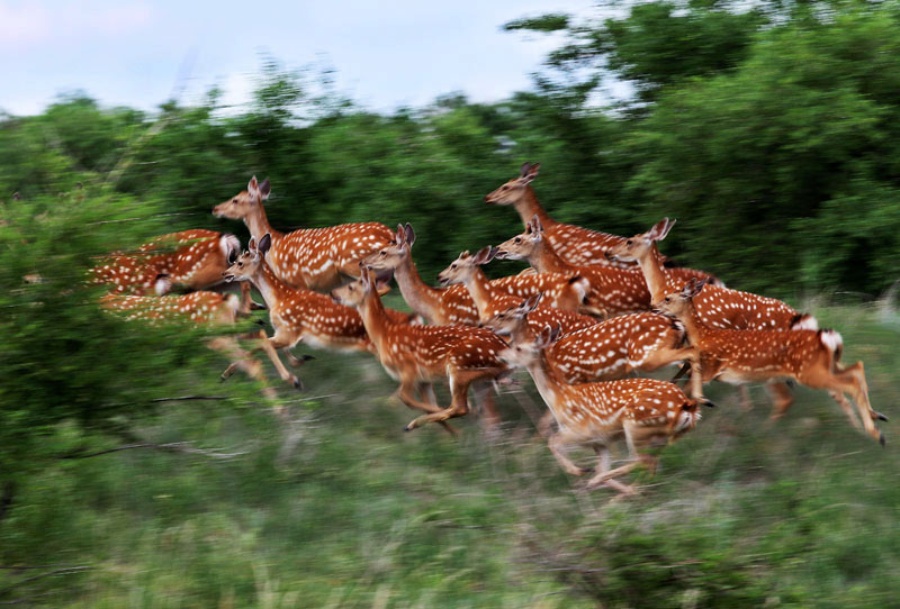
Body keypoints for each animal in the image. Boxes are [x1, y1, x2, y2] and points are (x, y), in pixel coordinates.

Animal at [213, 176, 396, 292]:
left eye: (235, 200)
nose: (215, 208)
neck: (274, 248)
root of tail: (390, 235)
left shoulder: (298, 280)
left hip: (357, 265)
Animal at [220, 233, 416, 390]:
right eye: (235, 260)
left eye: (240, 263)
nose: (225, 273)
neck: (280, 298)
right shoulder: (284, 332)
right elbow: (261, 342)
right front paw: (226, 373)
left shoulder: (289, 330)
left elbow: (263, 342)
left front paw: (294, 379)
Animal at [330, 264, 512, 432]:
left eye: (351, 287)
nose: (333, 293)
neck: (385, 334)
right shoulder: (424, 380)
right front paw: (453, 437)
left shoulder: (409, 367)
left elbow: (405, 398)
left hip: (458, 364)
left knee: (460, 407)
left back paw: (414, 424)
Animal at [500, 326, 712, 492]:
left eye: (518, 347)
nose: (502, 356)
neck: (559, 398)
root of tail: (687, 408)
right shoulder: (600, 442)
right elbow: (600, 465)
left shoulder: (580, 430)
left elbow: (552, 441)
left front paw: (580, 471)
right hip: (660, 437)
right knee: (651, 465)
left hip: (637, 427)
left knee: (642, 461)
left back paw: (599, 483)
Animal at [652, 278, 884, 444]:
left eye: (668, 298)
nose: (654, 307)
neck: (703, 335)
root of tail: (826, 337)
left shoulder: (710, 368)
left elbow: (687, 390)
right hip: (826, 366)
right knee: (856, 369)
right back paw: (875, 418)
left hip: (809, 372)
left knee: (846, 384)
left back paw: (876, 434)